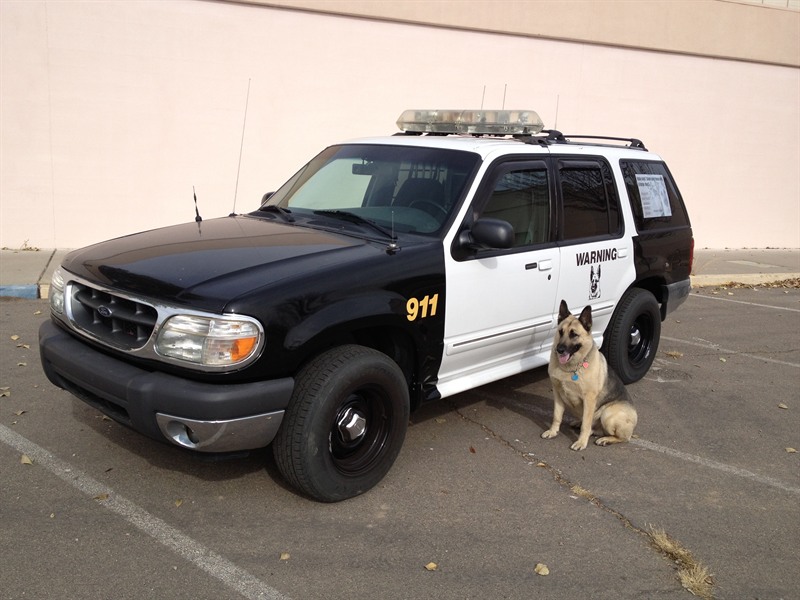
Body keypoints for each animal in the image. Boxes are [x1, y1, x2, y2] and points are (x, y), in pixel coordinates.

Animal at [540, 300, 640, 450]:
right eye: (560, 332)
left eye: (574, 334)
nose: (559, 349)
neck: (572, 367)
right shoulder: (557, 394)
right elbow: (556, 416)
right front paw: (553, 431)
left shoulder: (589, 399)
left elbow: (586, 425)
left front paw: (581, 442)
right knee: (594, 428)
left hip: (607, 414)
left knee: (622, 437)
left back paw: (606, 439)